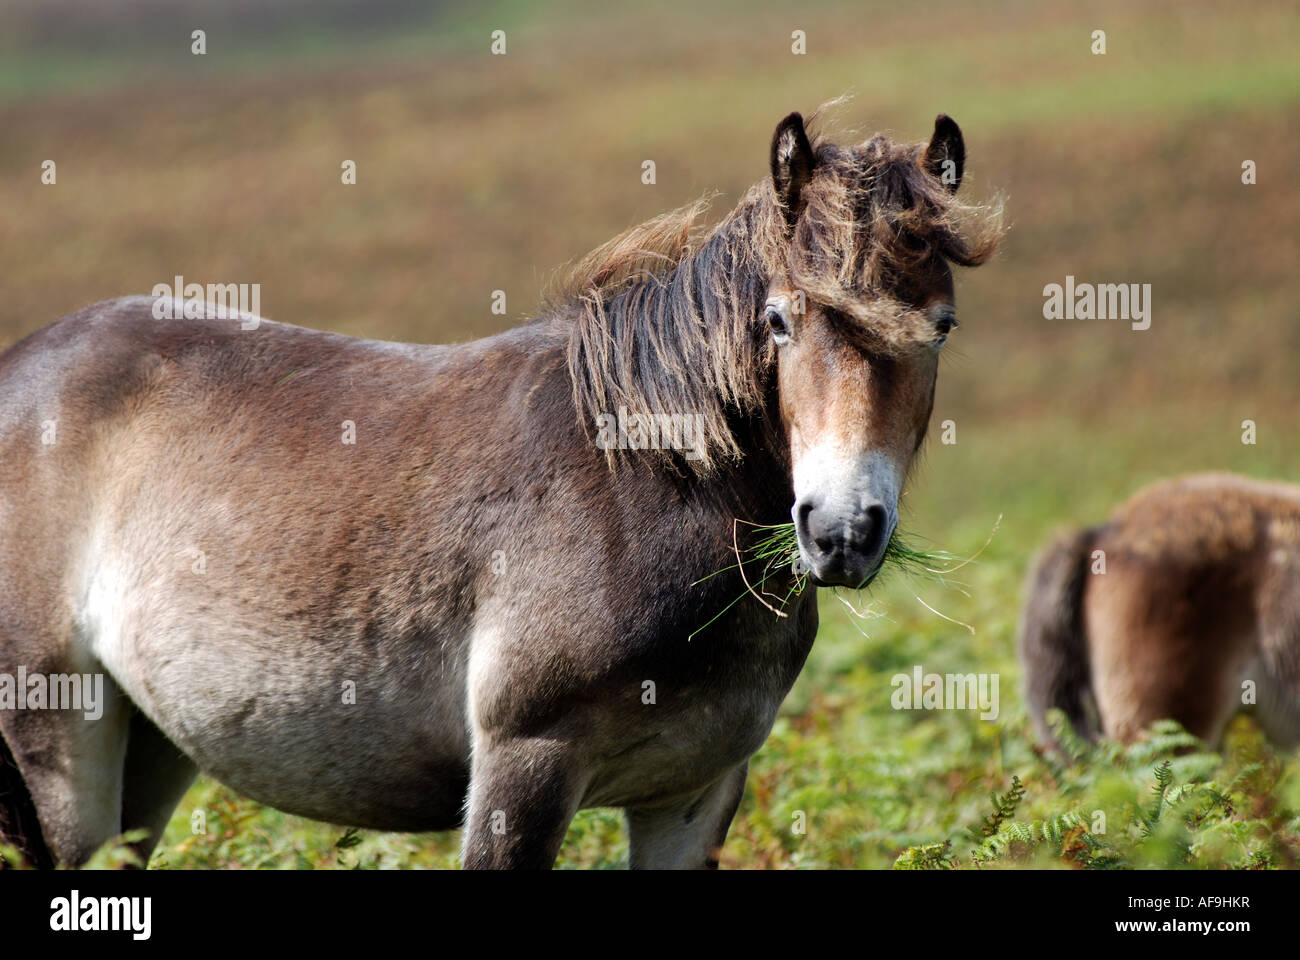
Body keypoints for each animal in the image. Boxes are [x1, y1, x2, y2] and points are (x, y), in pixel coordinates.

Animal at [0, 110, 1003, 868]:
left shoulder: (693, 796)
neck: (645, 484)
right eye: (781, 321)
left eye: (943, 327)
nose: (840, 532)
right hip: (58, 743)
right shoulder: (525, 772)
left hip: (152, 745)